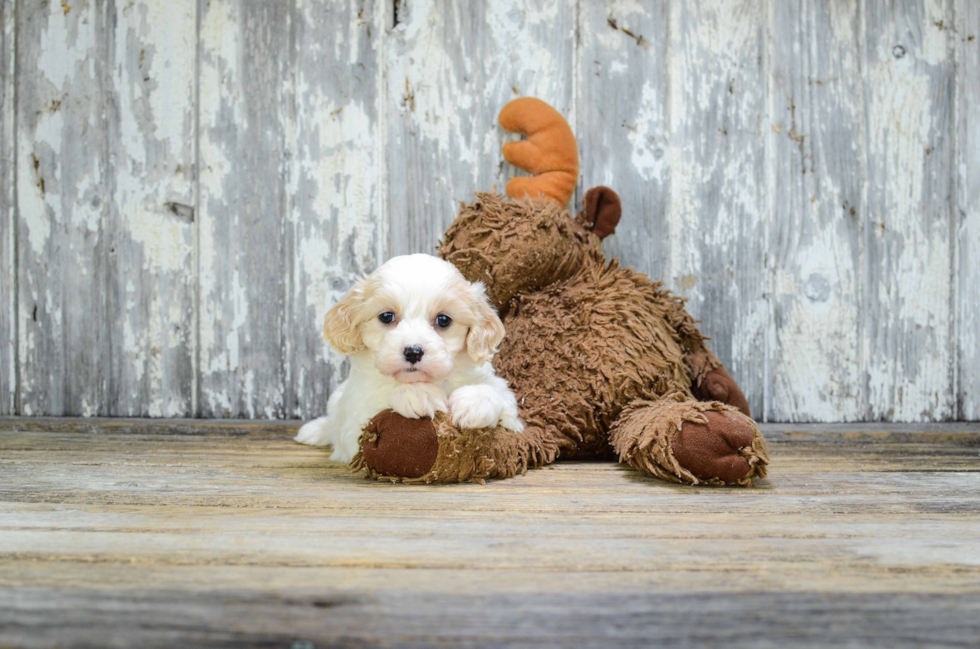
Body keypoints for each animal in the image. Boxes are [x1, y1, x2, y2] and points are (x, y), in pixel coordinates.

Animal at [294, 253, 524, 460]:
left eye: (443, 320)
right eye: (387, 316)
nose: (413, 351)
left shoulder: (510, 415)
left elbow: (498, 396)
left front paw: (474, 403)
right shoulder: (356, 420)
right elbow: (383, 396)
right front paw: (418, 394)